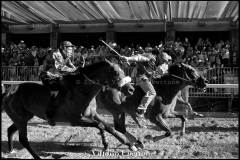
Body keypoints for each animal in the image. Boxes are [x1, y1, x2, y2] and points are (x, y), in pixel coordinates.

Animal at [0, 59, 139, 159]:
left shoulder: (93, 115)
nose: (131, 89)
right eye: (115, 72)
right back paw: (37, 157)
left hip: (23, 117)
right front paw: (105, 144)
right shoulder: (76, 120)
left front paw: (131, 145)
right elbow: (100, 125)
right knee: (23, 139)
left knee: (10, 130)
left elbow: (109, 128)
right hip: (21, 119)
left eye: (123, 71)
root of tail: (8, 92)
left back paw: (11, 150)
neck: (82, 90)